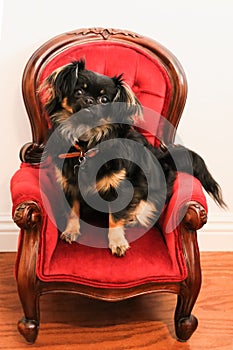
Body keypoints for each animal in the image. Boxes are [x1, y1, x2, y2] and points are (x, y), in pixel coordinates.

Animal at [40, 59, 226, 258]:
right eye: (79, 91)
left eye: (104, 100)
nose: (90, 100)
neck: (87, 144)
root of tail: (164, 156)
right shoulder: (70, 184)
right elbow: (73, 211)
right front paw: (71, 230)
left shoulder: (120, 186)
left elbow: (115, 218)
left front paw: (117, 242)